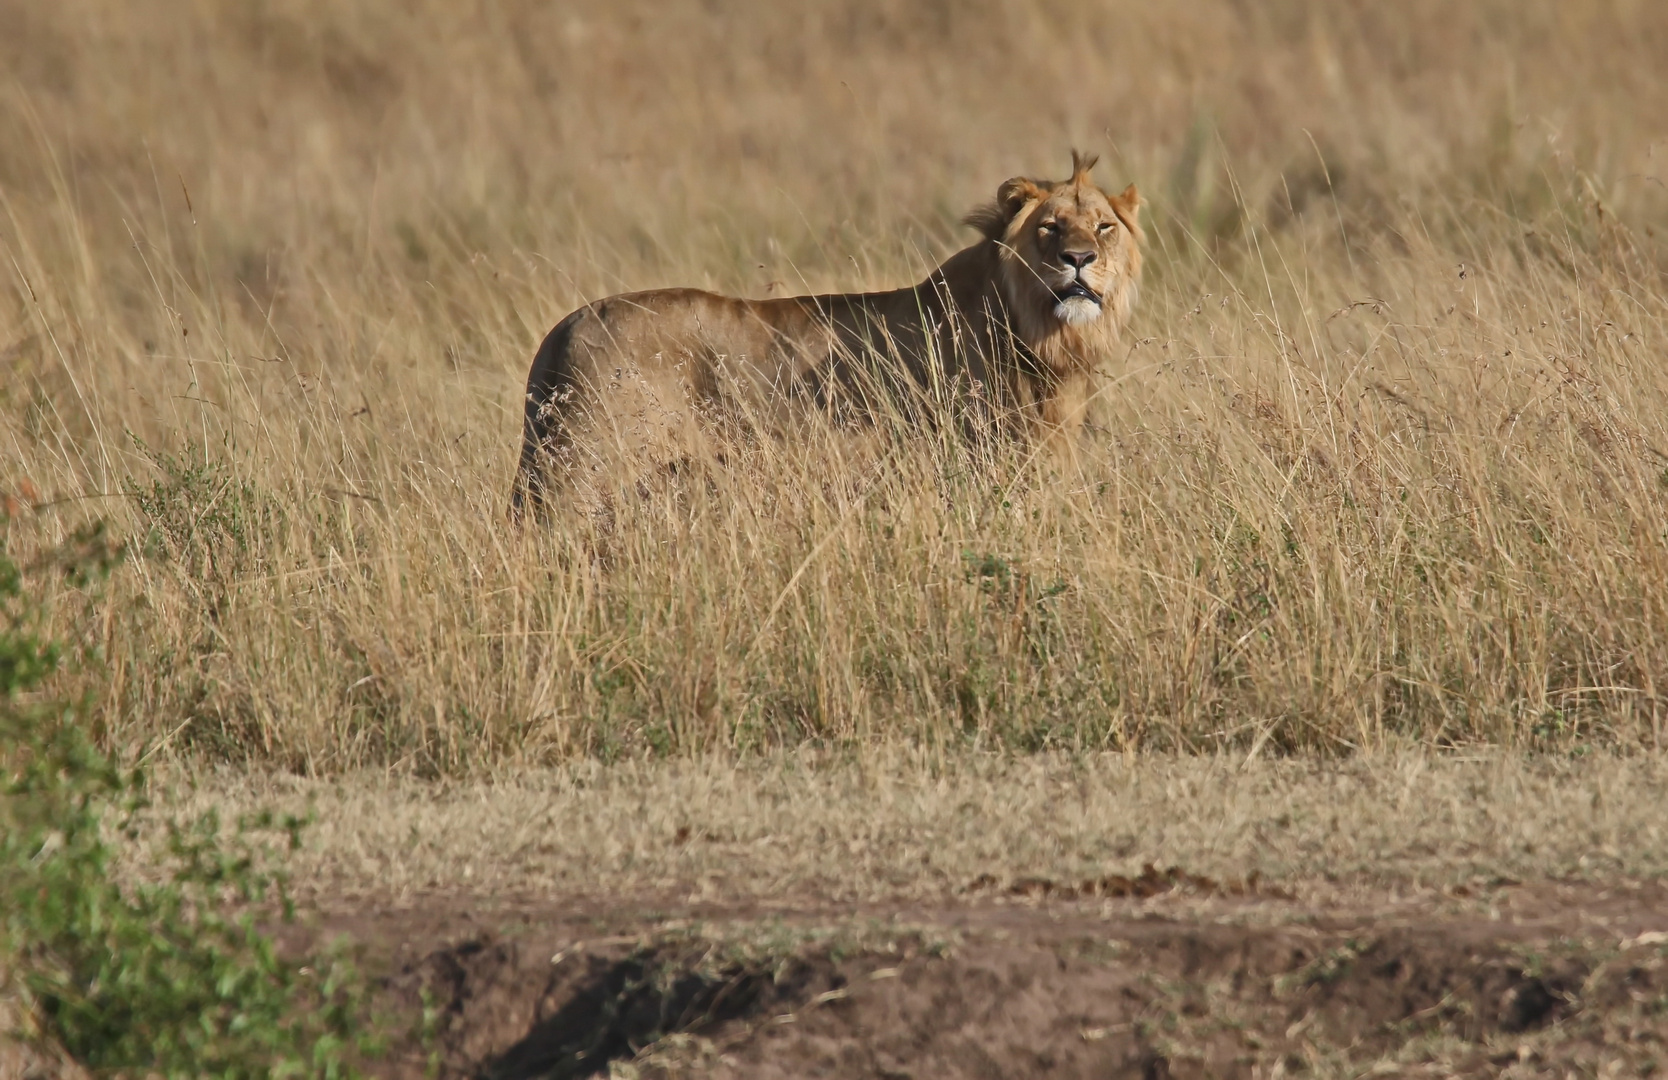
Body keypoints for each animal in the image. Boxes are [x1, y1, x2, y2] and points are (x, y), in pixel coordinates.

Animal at [507, 151, 1140, 520]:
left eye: (1104, 226)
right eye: (1050, 227)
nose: (1078, 259)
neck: (1043, 335)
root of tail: (569, 324)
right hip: (581, 472)